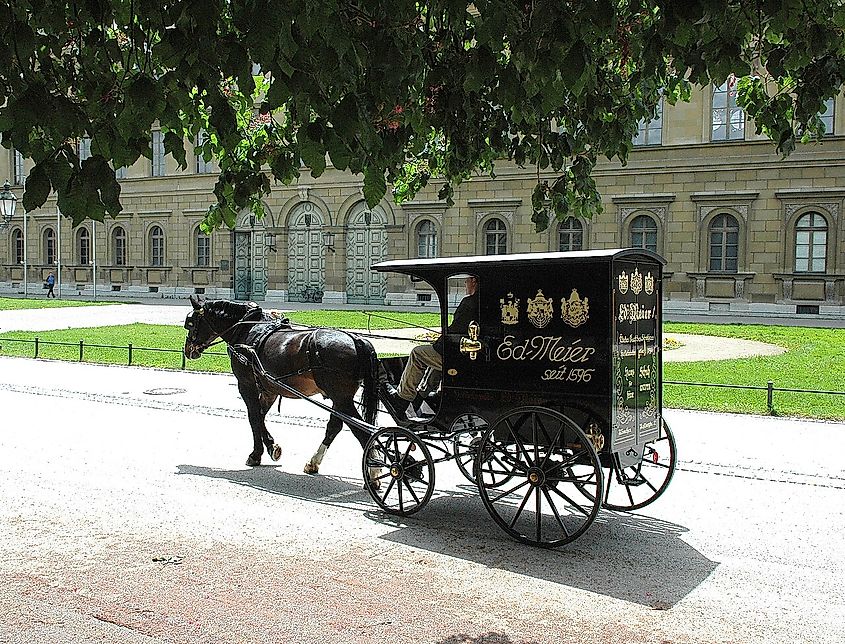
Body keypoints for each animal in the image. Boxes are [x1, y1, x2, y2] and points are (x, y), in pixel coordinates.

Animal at [185, 296, 382, 478]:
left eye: (190, 323)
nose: (188, 350)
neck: (247, 329)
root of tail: (356, 339)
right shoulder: (269, 389)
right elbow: (260, 416)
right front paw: (271, 446)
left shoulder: (246, 384)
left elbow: (254, 417)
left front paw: (256, 454)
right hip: (340, 400)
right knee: (335, 427)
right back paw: (314, 462)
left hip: (341, 398)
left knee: (362, 431)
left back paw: (373, 472)